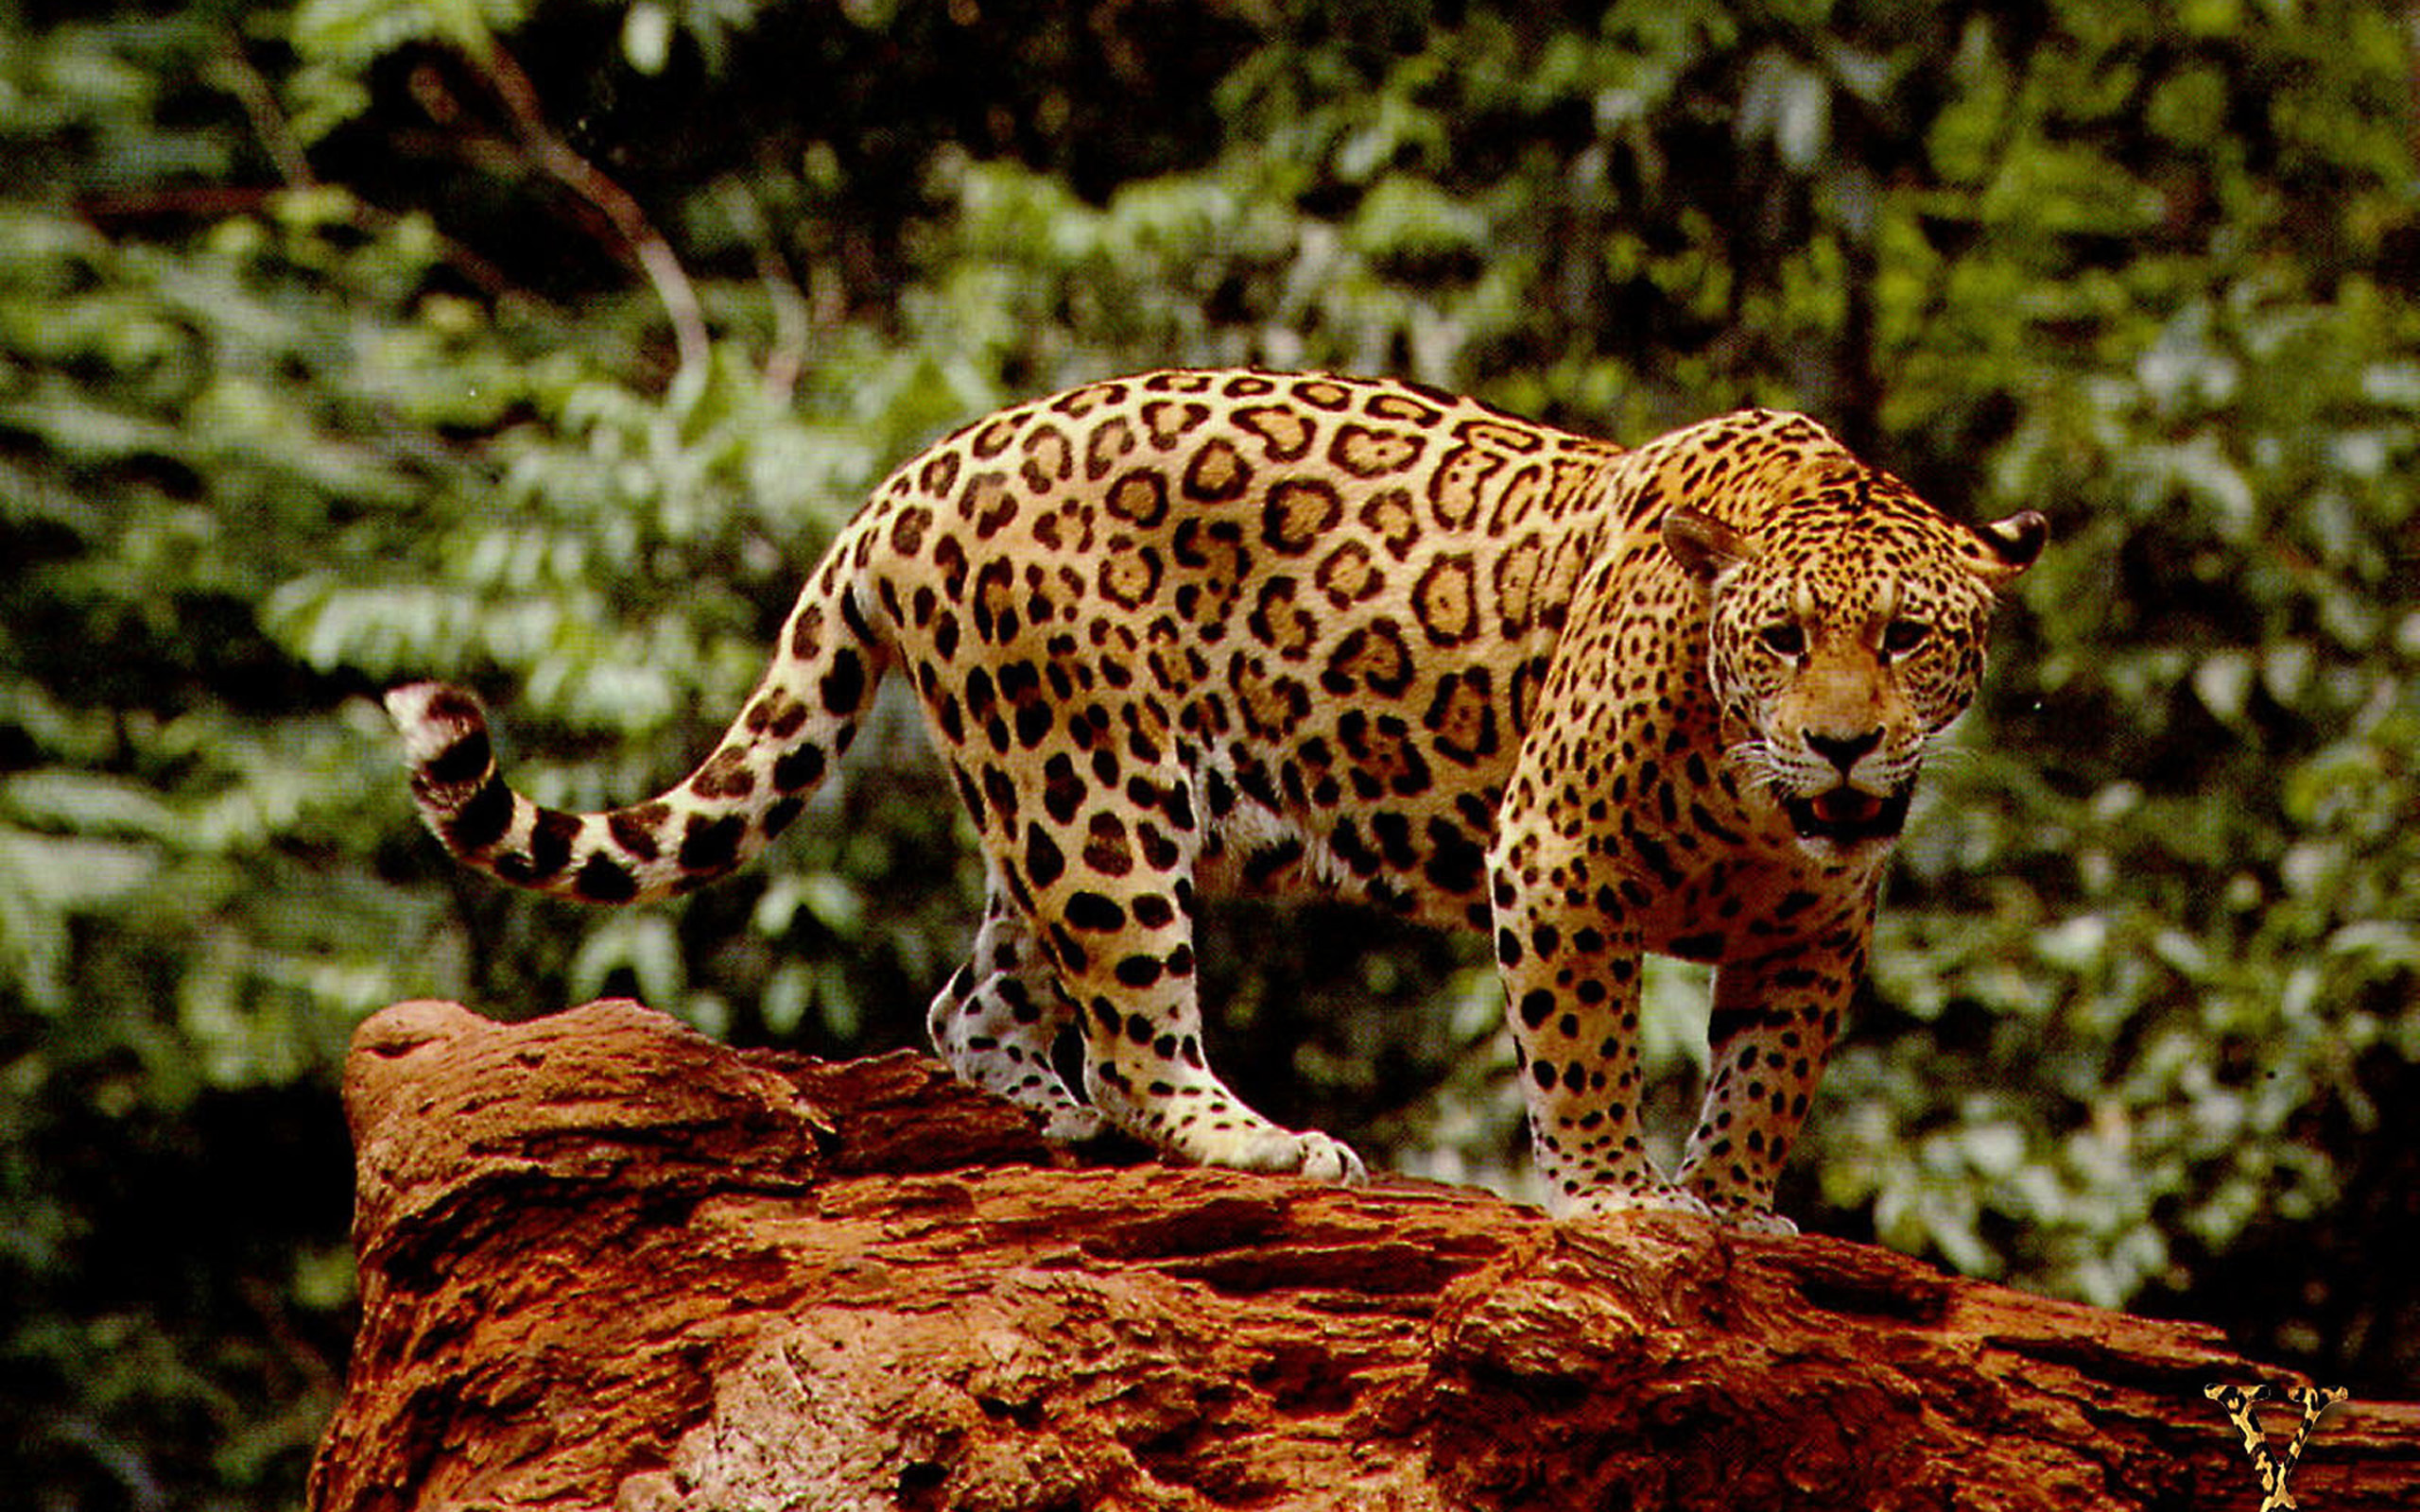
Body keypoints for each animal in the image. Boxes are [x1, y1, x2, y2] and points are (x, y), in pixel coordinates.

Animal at [387, 368, 2044, 1231]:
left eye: (1908, 637)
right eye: (1782, 639)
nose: (1844, 746)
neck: (1754, 791)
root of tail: (918, 472)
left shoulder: (1814, 925)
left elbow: (1768, 1075)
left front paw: (1738, 1205)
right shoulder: (1555, 856)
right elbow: (1583, 1051)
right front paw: (1615, 1201)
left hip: (1050, 795)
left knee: (975, 1000)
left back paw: (1051, 1122)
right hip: (1097, 794)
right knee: (1134, 1033)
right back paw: (1253, 1142)